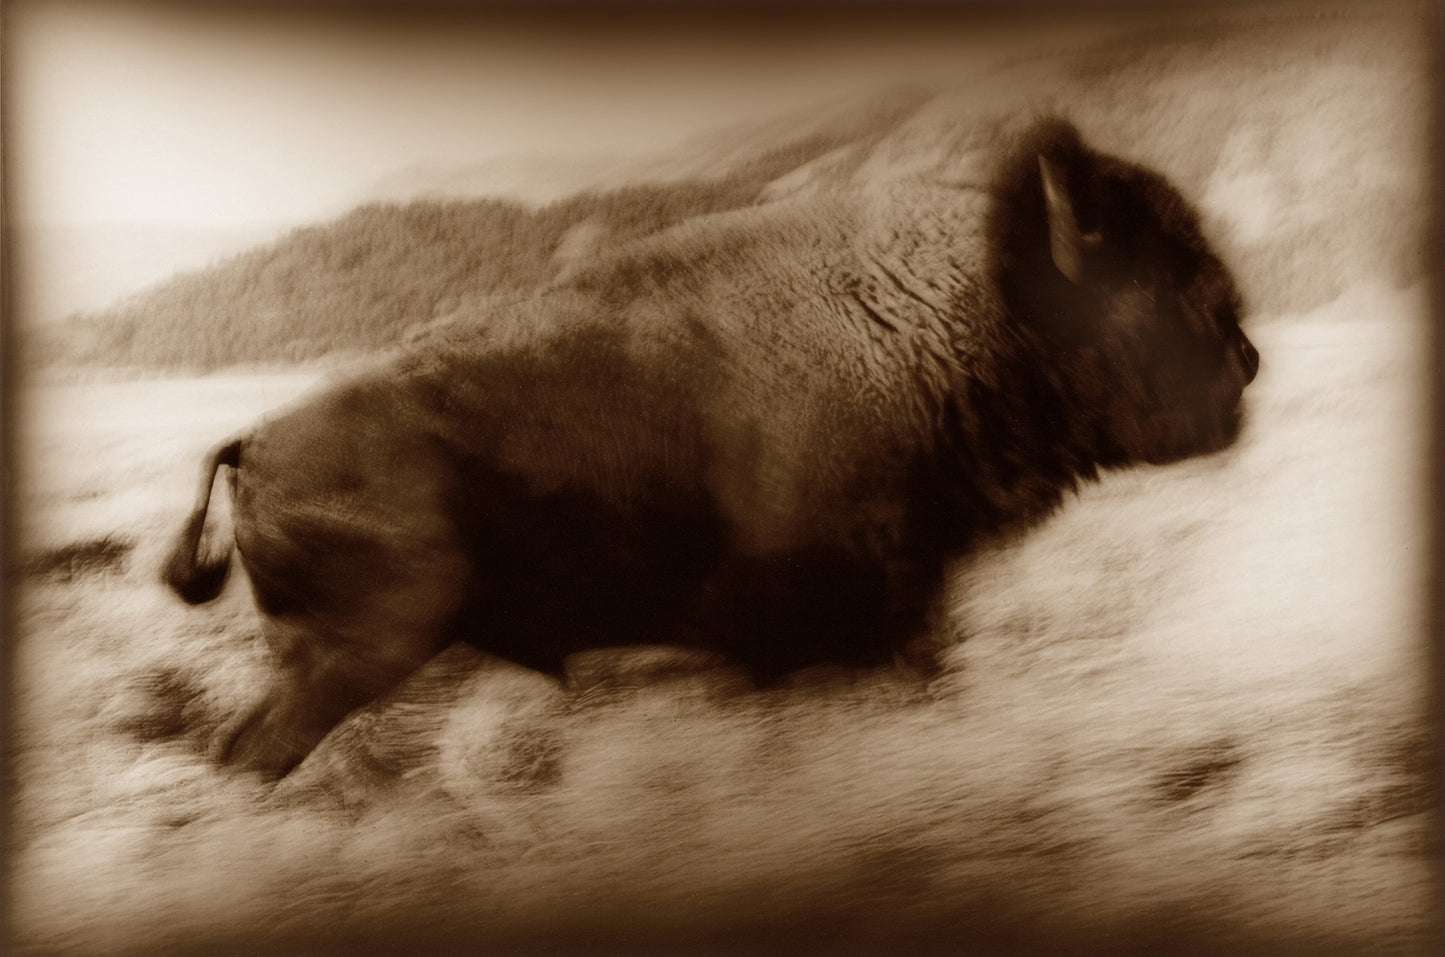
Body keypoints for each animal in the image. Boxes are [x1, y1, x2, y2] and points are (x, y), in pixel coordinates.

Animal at [165, 117, 1259, 778]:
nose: (1244, 359)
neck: (967, 309)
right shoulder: (836, 624)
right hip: (359, 650)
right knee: (259, 748)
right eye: (1160, 279)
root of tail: (255, 445)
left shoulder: (892, 608)